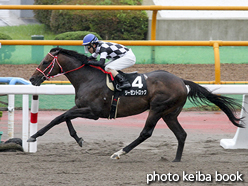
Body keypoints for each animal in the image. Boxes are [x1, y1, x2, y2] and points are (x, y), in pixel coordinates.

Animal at [28, 47, 243, 162]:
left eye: (45, 61)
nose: (32, 79)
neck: (89, 78)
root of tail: (181, 81)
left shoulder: (93, 112)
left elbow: (63, 116)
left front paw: (34, 136)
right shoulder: (81, 107)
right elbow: (60, 117)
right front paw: (76, 138)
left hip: (157, 108)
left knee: (146, 133)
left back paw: (119, 152)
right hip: (170, 113)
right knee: (181, 134)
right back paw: (176, 159)